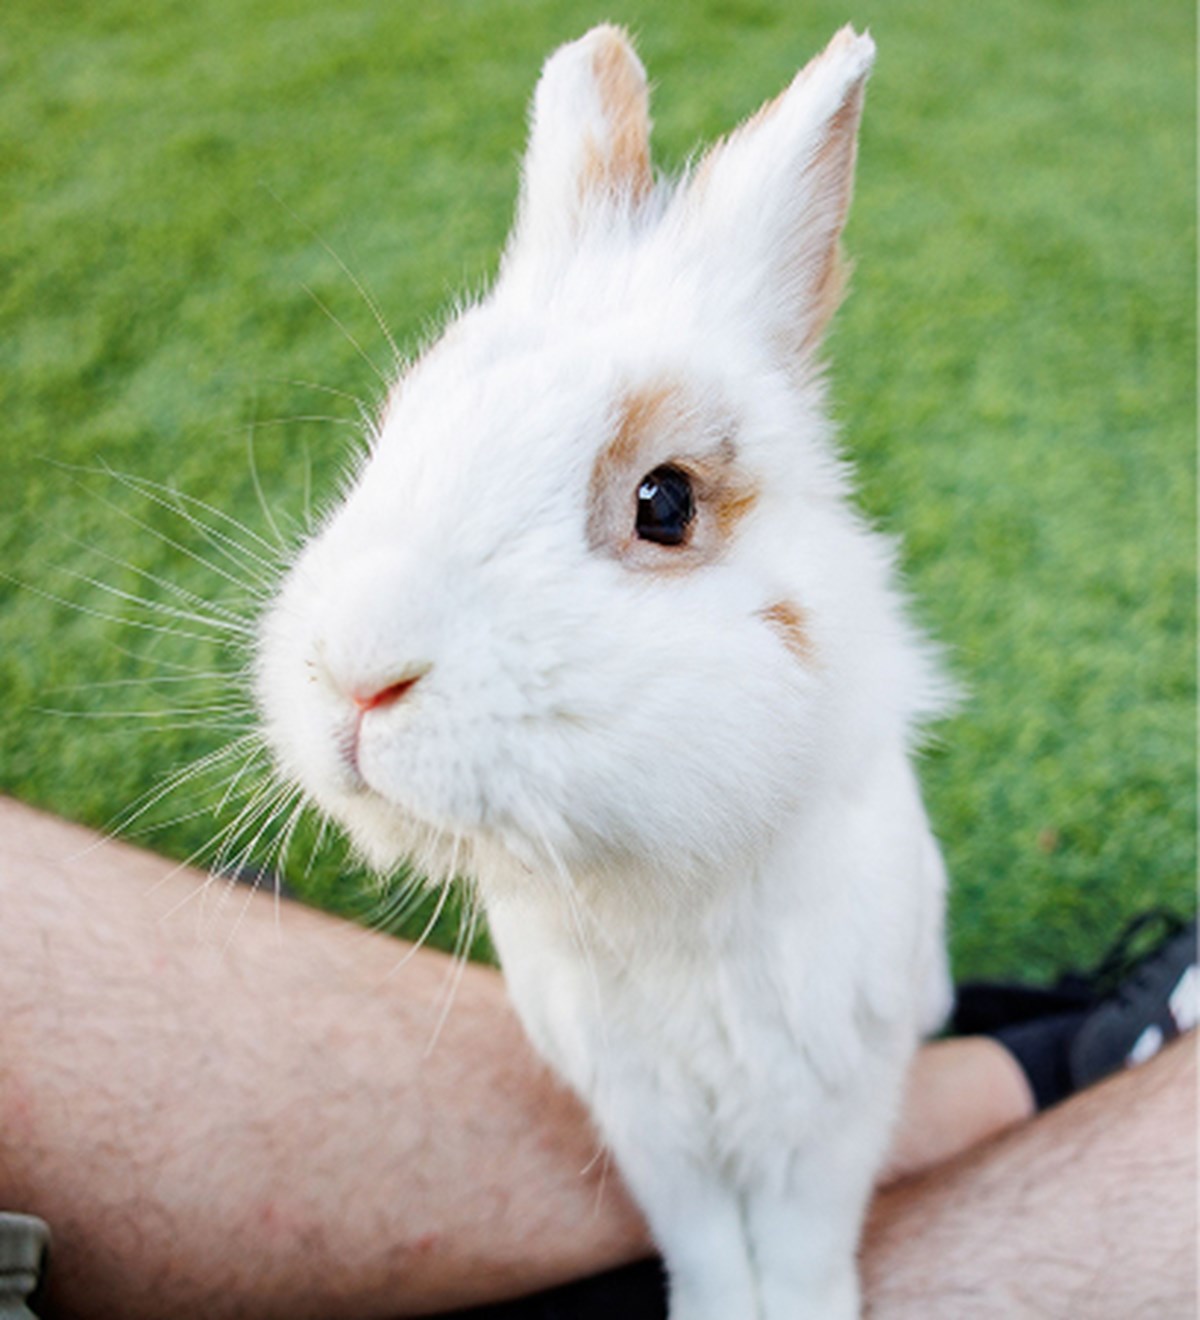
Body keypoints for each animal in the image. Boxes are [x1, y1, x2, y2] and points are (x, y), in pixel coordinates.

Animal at [255, 23, 953, 1320]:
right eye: (396, 432)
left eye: (663, 503)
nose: (356, 676)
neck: (659, 900)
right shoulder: (648, 1130)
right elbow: (708, 1247)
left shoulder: (826, 1119)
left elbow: (802, 1246)